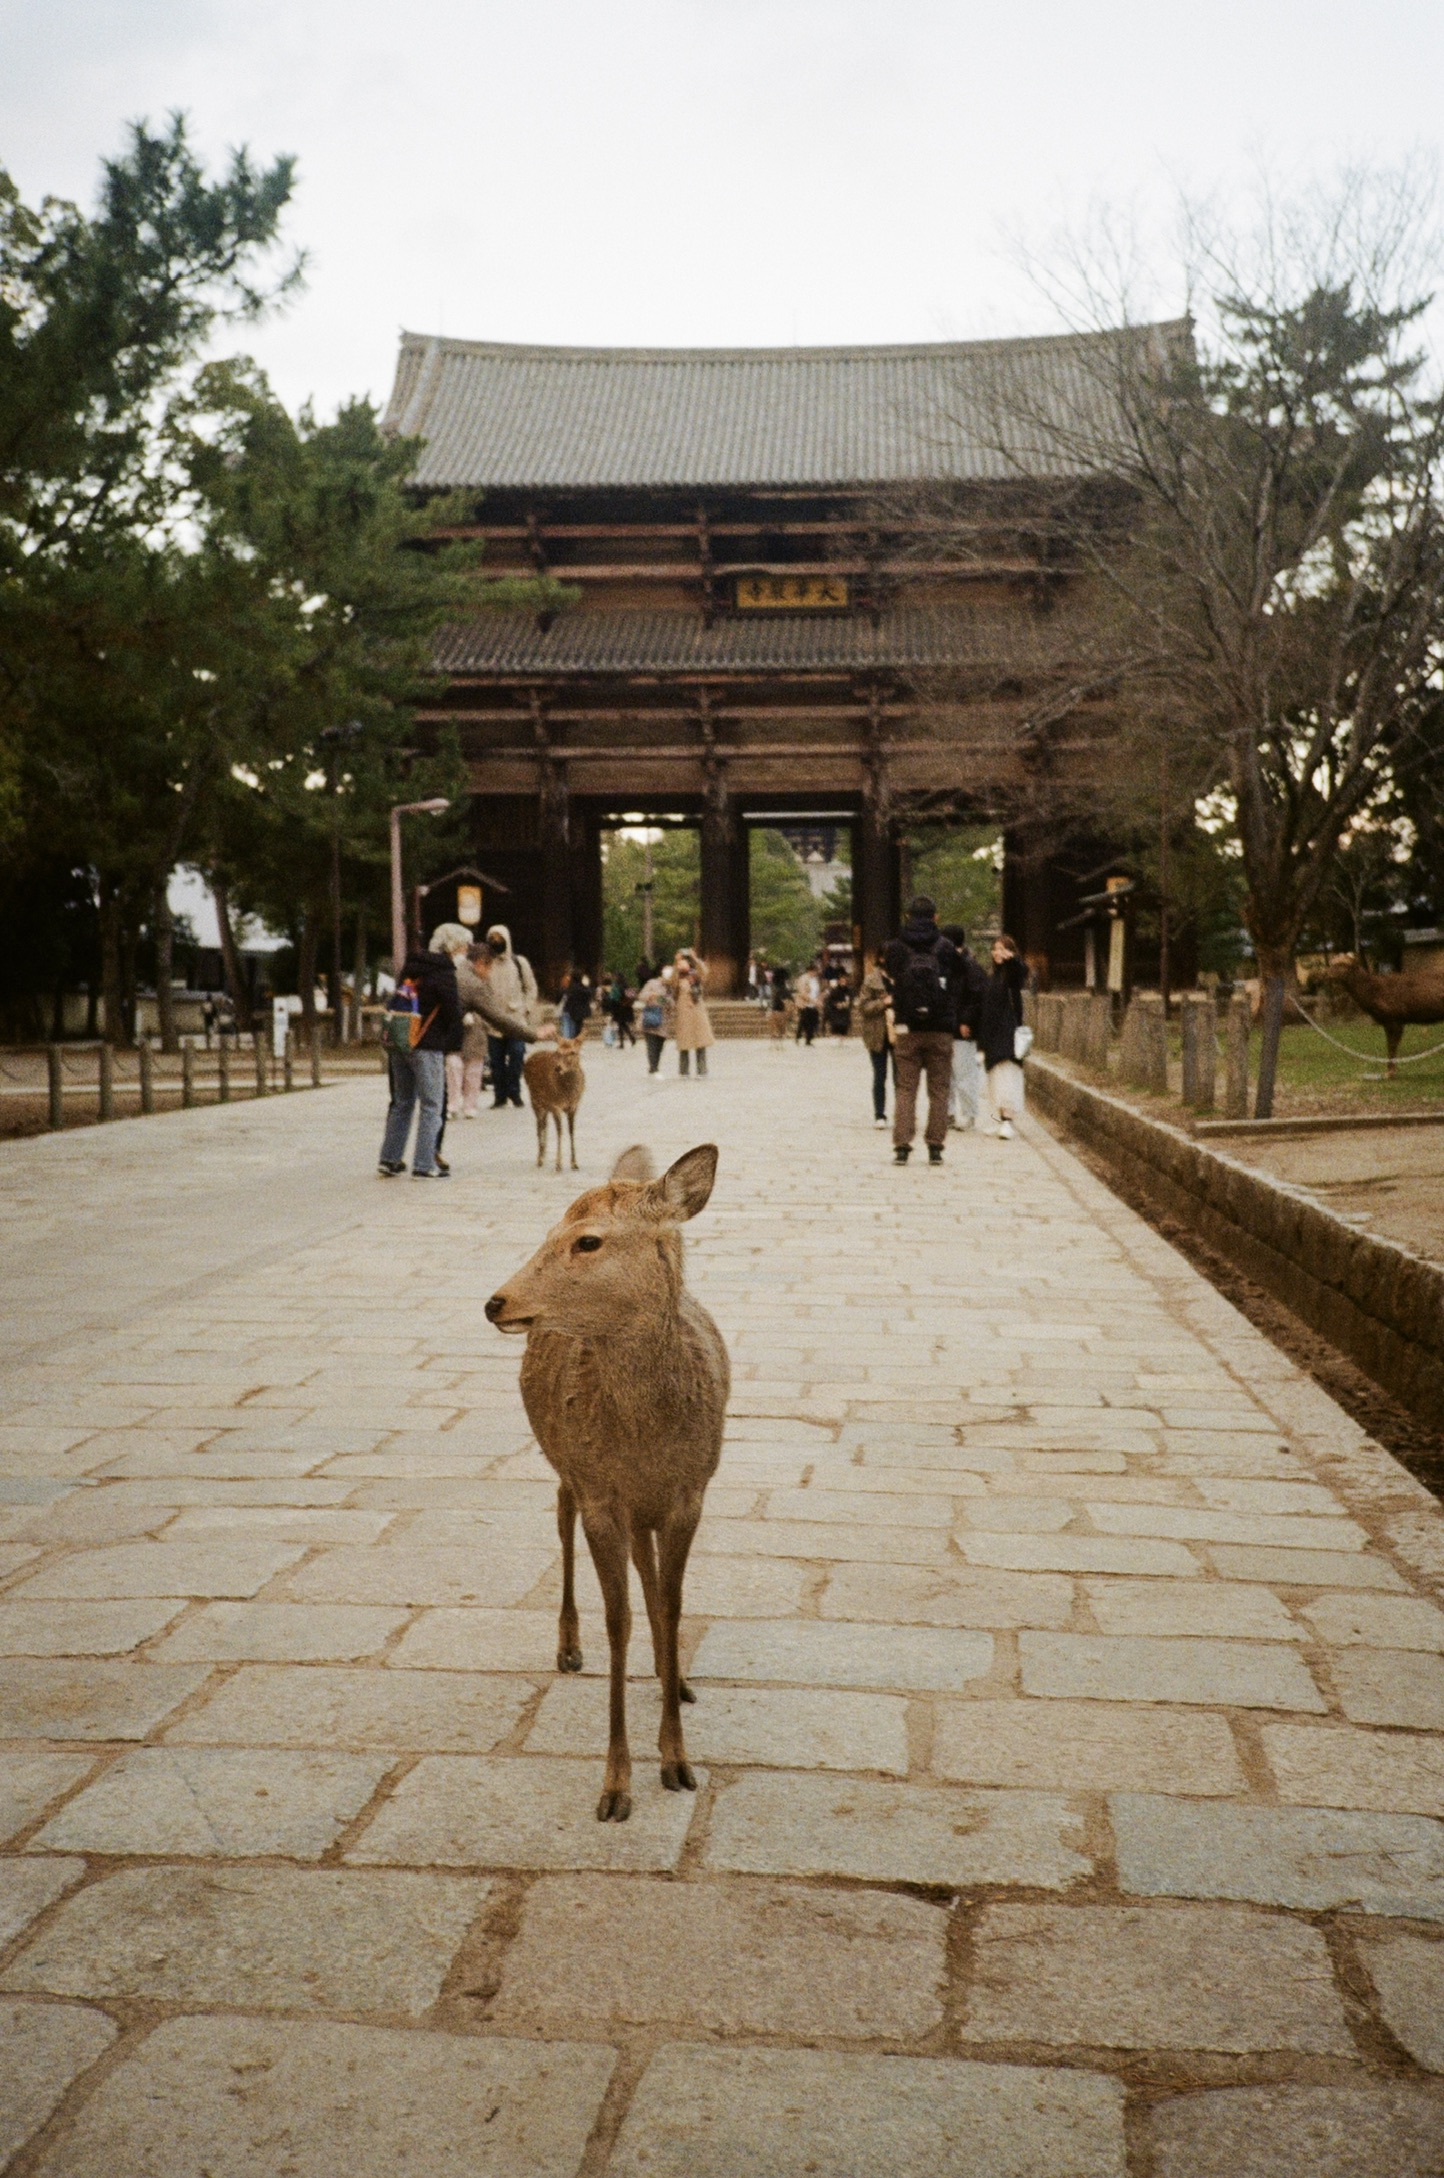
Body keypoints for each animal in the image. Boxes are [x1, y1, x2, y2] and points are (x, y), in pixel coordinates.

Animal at [484, 1143, 728, 1821]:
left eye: (588, 1240)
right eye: (549, 1231)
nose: (496, 1302)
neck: (646, 1440)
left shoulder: (688, 1495)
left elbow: (670, 1605)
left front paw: (678, 1760)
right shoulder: (601, 1493)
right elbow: (616, 1620)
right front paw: (617, 1785)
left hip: (642, 1508)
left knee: (648, 1573)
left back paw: (676, 1676)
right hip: (566, 1463)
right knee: (560, 1511)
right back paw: (569, 1647)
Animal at [524, 1031, 586, 1171]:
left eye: (573, 1052)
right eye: (557, 1052)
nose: (558, 1068)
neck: (567, 1093)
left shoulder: (573, 1106)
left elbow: (571, 1131)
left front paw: (574, 1163)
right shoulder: (555, 1105)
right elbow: (559, 1132)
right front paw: (558, 1164)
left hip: (545, 1105)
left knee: (544, 1124)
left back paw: (544, 1153)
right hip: (535, 1100)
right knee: (539, 1126)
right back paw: (540, 1158)